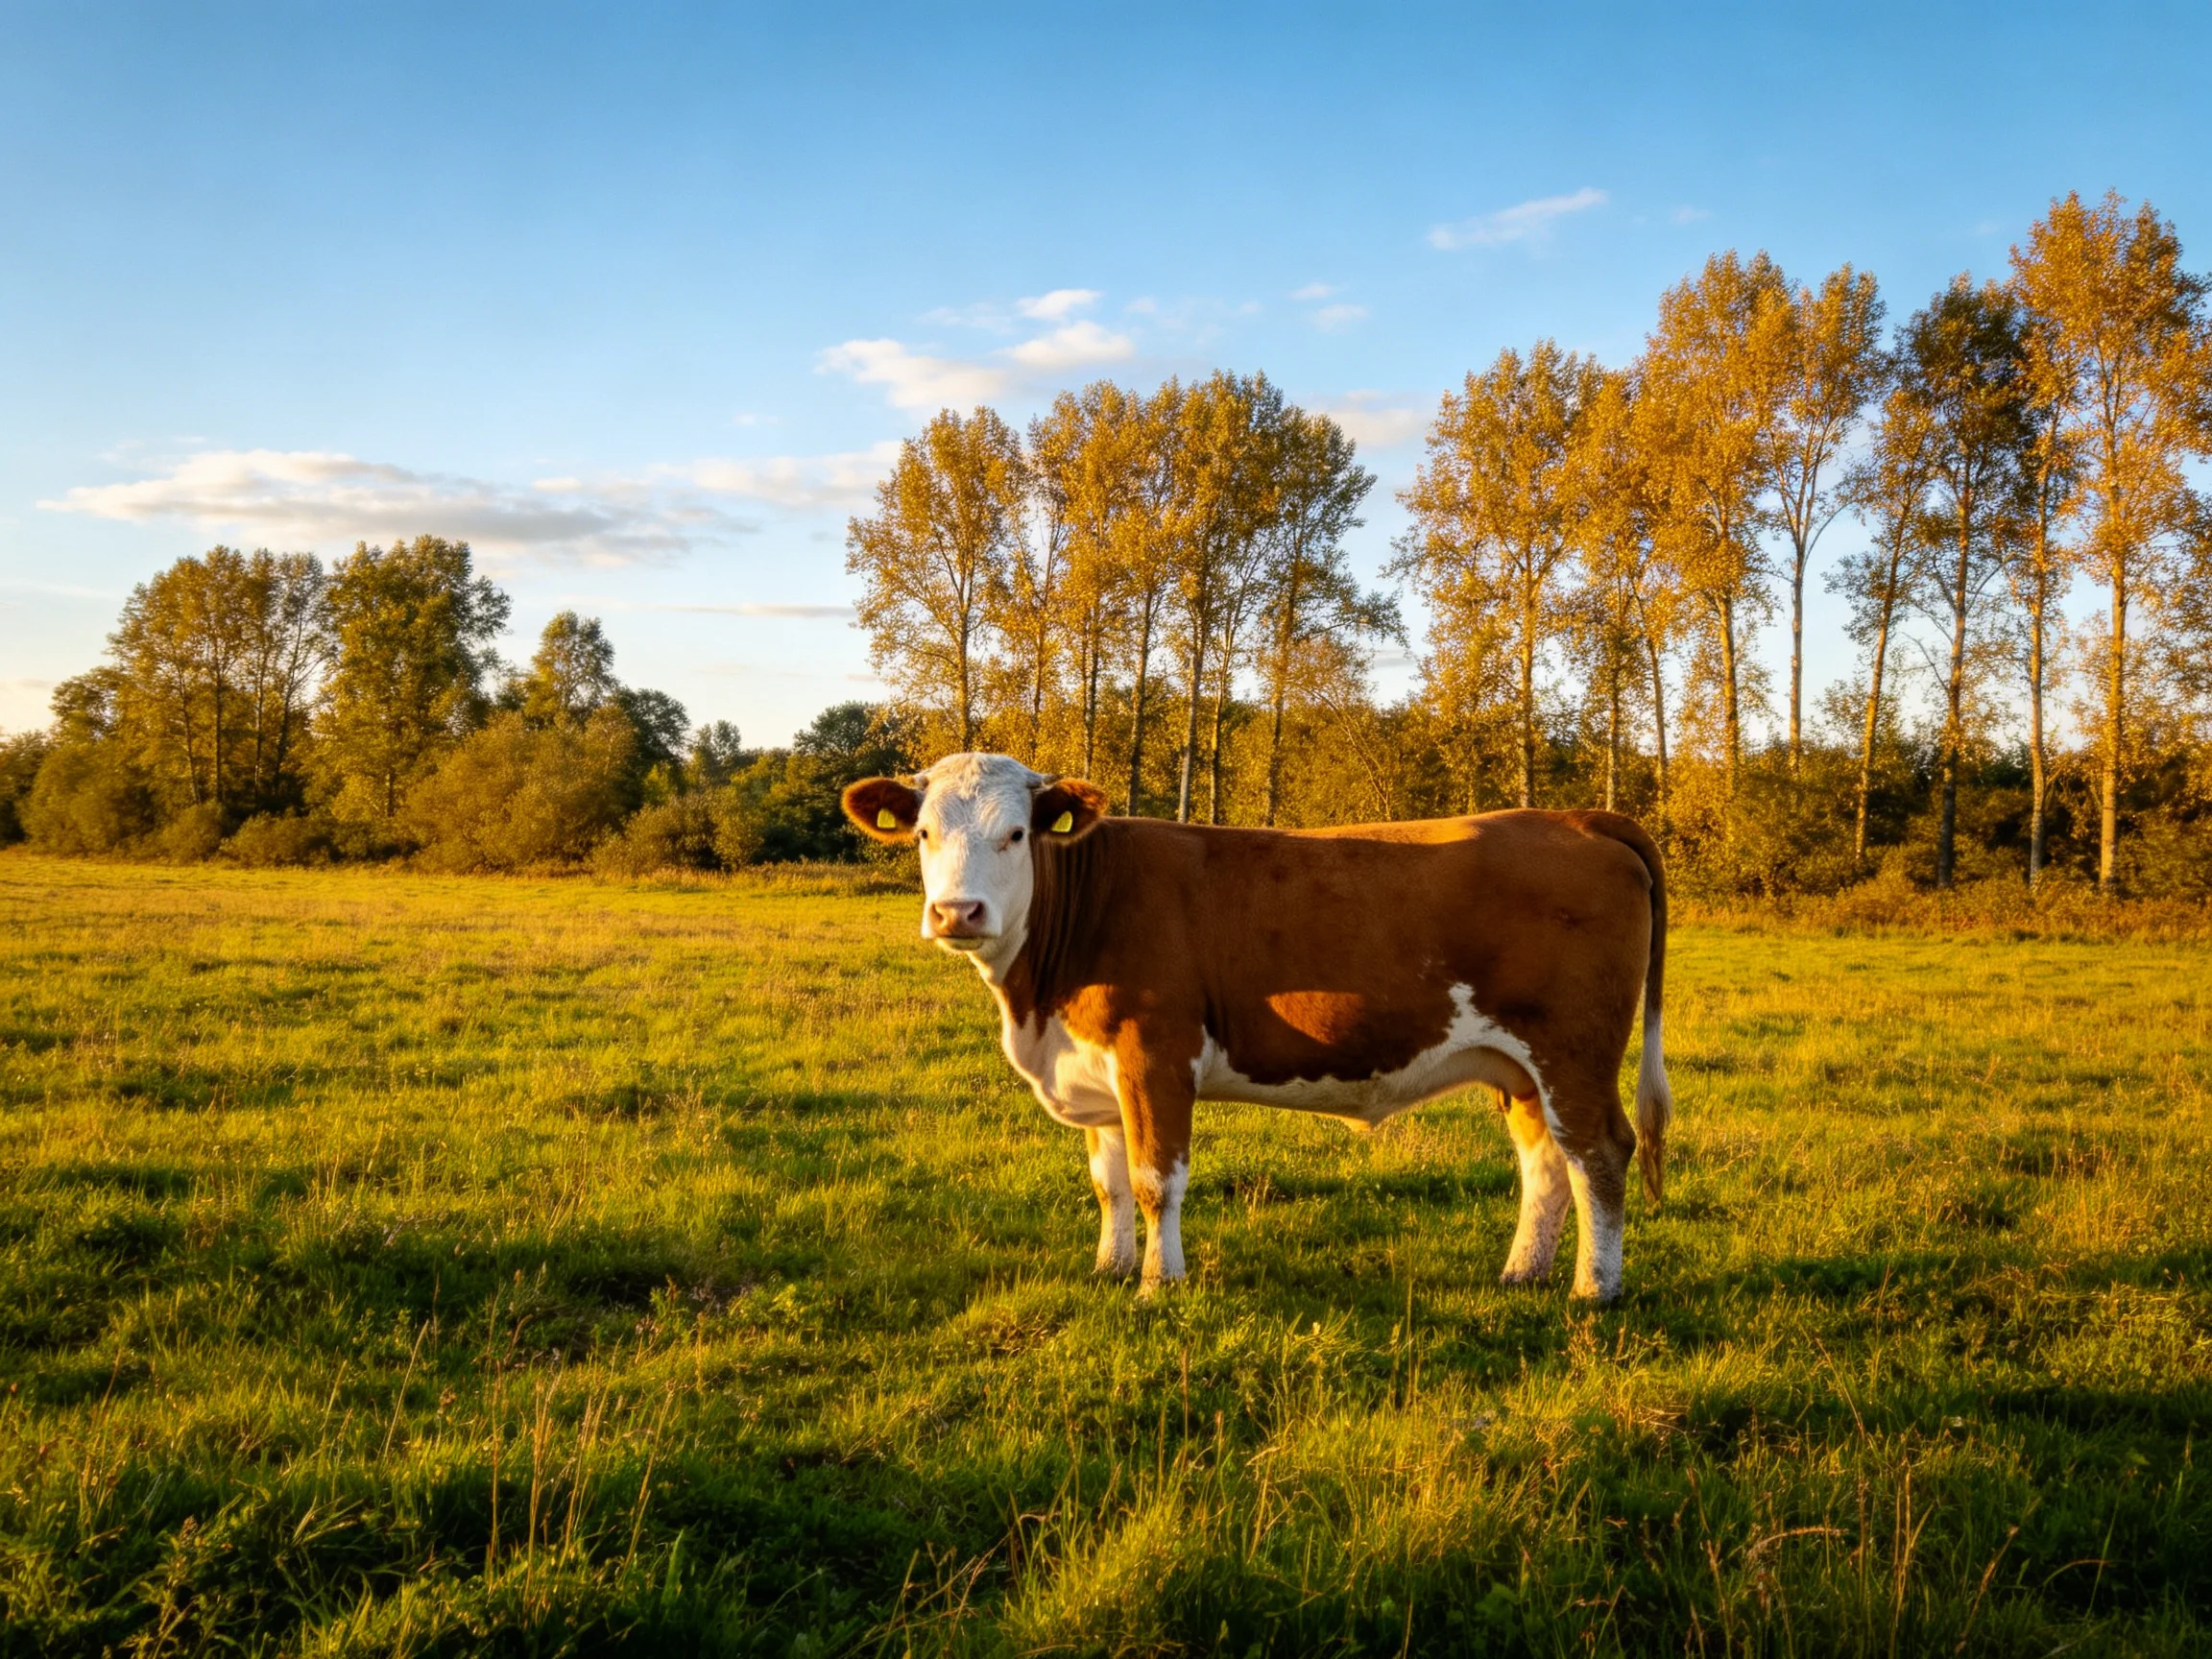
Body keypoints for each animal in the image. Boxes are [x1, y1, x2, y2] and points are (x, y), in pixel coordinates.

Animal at [842, 752, 1672, 1302]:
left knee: (1600, 1154)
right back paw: (1523, 1273)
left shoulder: (1155, 1053)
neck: (1038, 1005)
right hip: (1520, 1067)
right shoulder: (1091, 1063)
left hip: (1573, 1050)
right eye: (922, 835)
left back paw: (1594, 1292)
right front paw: (1110, 1268)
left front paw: (1158, 1286)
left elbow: (1155, 1179)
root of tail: (1576, 818)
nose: (957, 913)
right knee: (1546, 1163)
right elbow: (1109, 1182)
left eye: (1017, 834)